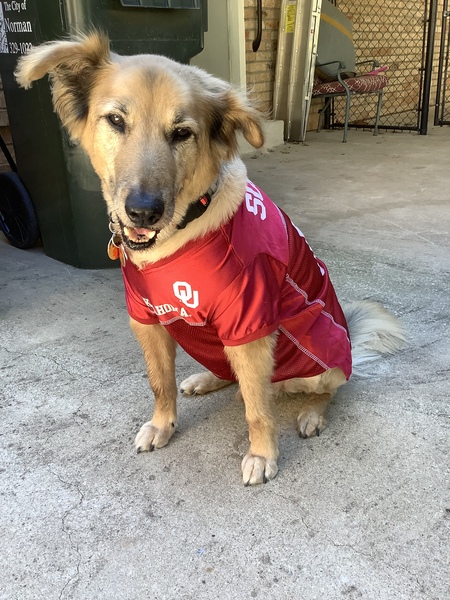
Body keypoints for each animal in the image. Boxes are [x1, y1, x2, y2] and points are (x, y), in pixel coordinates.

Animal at [15, 32, 406, 486]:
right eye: (115, 121)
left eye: (182, 133)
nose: (143, 212)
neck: (181, 233)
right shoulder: (146, 320)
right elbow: (160, 384)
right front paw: (163, 425)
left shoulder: (248, 327)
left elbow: (257, 409)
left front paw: (262, 453)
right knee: (233, 378)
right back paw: (206, 379)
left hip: (320, 356)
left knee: (323, 389)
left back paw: (312, 413)